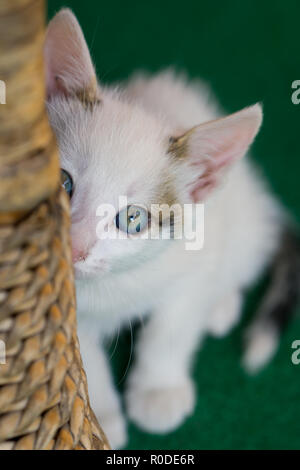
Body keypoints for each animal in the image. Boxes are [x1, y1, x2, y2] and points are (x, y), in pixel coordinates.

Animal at [44, 8, 300, 448]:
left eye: (132, 218)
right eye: (64, 183)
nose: (74, 248)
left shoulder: (194, 262)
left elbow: (171, 327)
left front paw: (157, 392)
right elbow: (82, 353)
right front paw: (101, 418)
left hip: (240, 222)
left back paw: (221, 304)